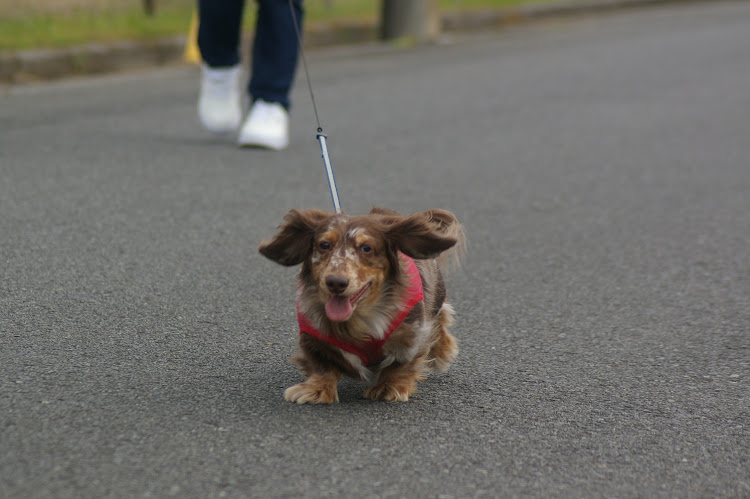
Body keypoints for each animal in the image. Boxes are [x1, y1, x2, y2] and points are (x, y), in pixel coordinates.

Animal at [262, 205, 468, 404]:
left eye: (366, 248)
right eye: (324, 245)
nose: (336, 282)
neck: (358, 319)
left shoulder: (412, 334)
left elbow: (400, 364)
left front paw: (388, 388)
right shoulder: (313, 335)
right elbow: (322, 366)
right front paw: (316, 389)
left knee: (440, 316)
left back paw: (442, 351)